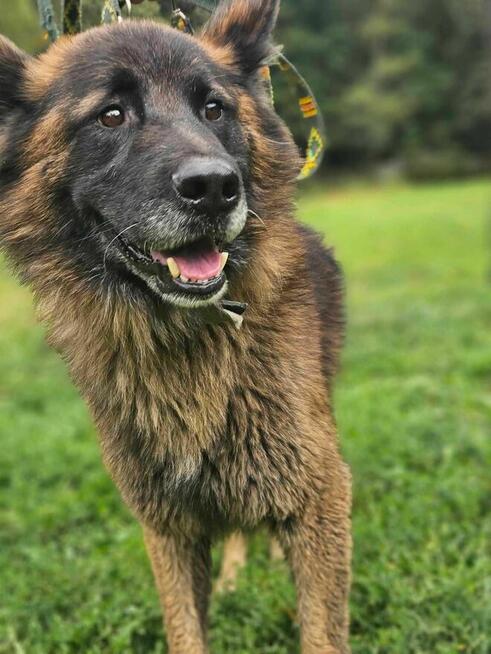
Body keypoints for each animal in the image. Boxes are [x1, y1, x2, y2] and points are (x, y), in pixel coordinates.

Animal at [0, 2, 354, 652]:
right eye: (111, 114)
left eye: (214, 109)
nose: (215, 188)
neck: (184, 342)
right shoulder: (168, 526)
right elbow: (185, 628)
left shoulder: (318, 495)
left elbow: (321, 628)